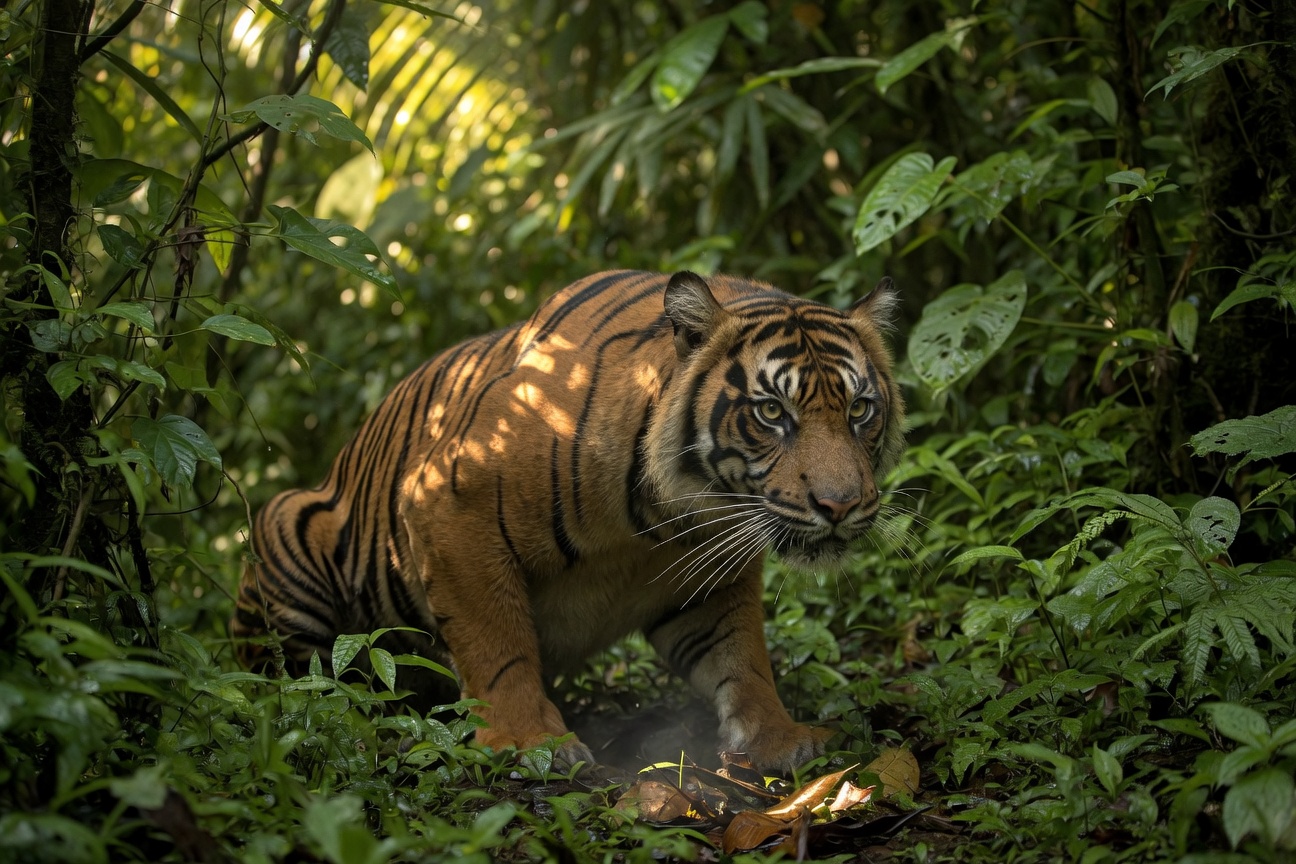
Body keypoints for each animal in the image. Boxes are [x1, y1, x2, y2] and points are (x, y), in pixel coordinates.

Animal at [233, 269, 905, 773]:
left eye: (860, 409)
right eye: (771, 412)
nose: (840, 505)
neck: (665, 511)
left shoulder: (707, 580)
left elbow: (742, 659)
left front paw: (779, 736)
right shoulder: (447, 505)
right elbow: (496, 643)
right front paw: (528, 743)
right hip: (284, 531)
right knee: (293, 684)